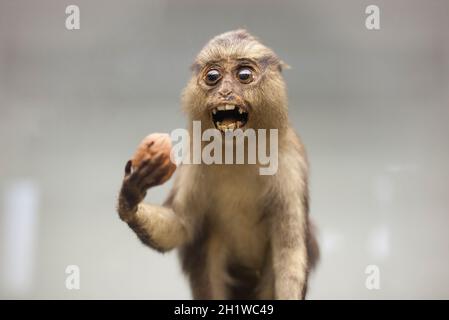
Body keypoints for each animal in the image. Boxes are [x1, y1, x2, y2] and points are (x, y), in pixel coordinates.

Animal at [117, 30, 316, 300]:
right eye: (213, 76)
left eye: (244, 75)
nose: (225, 93)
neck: (238, 151)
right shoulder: (194, 159)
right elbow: (182, 226)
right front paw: (131, 194)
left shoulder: (290, 160)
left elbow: (289, 249)